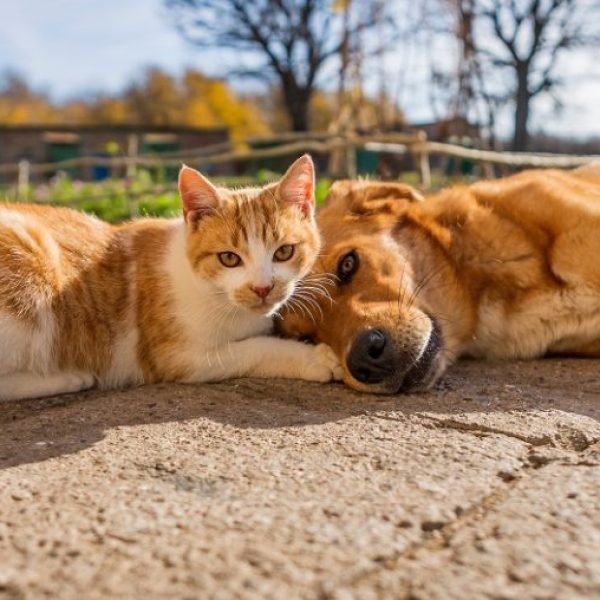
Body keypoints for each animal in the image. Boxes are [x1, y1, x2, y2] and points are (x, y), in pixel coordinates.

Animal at [0, 155, 342, 400]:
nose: (262, 288)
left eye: (284, 252)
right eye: (229, 258)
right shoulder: (176, 356)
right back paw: (69, 377)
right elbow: (251, 349)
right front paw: (315, 358)